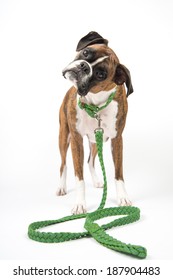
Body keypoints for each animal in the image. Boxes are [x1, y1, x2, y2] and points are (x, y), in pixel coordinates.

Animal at [56, 31, 133, 214]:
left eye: (100, 74)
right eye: (86, 53)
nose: (84, 66)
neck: (95, 104)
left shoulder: (117, 139)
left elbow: (118, 173)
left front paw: (122, 197)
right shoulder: (76, 139)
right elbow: (79, 177)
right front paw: (80, 203)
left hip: (96, 140)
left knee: (90, 161)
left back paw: (98, 180)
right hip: (64, 137)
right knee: (63, 164)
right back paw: (62, 187)